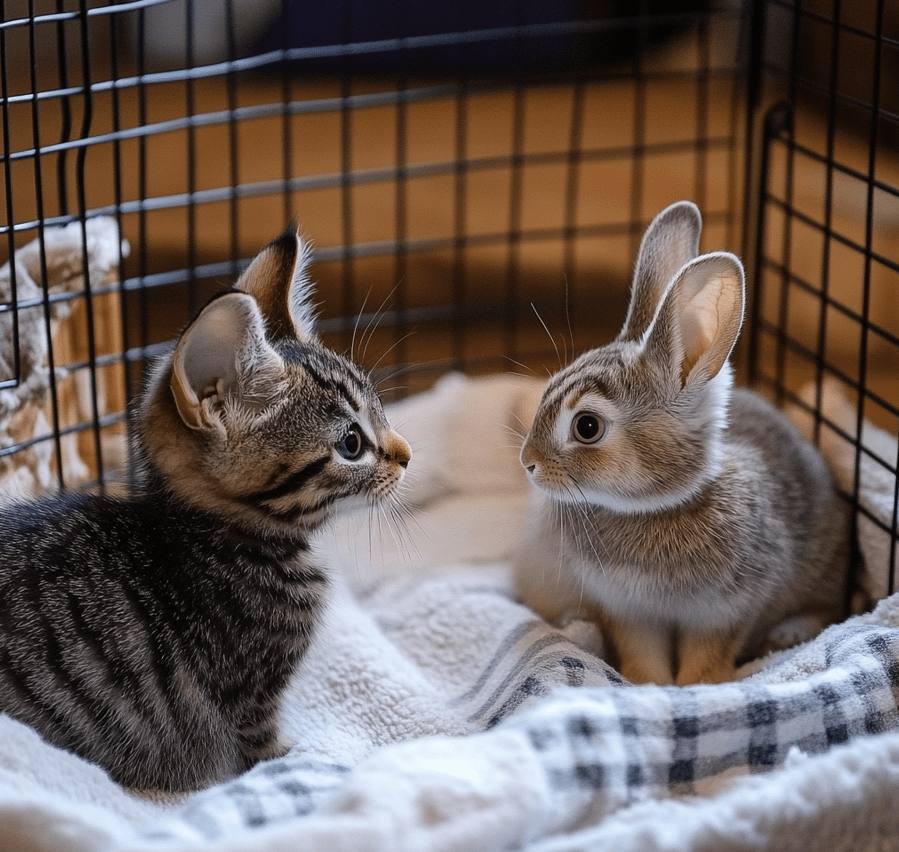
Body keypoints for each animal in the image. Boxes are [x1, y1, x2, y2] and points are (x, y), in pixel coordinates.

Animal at [0, 226, 412, 792]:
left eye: (380, 410)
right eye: (351, 444)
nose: (408, 455)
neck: (219, 536)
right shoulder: (249, 705)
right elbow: (267, 756)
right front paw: (306, 763)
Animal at [512, 200, 852, 684]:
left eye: (587, 427)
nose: (529, 463)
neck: (656, 508)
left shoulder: (727, 610)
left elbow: (708, 653)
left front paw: (697, 686)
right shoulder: (627, 610)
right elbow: (642, 650)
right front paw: (648, 684)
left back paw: (787, 635)